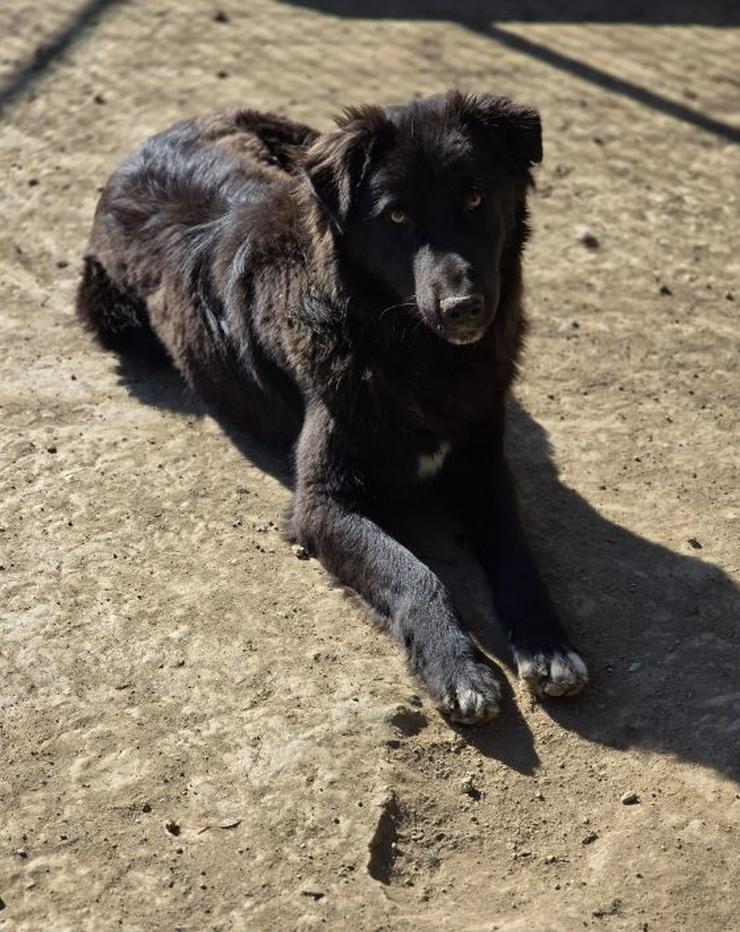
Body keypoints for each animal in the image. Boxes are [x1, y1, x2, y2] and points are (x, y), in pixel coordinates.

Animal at [78, 91, 588, 724]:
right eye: (396, 217)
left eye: (475, 198)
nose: (464, 308)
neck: (409, 348)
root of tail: (142, 148)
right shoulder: (322, 505)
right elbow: (413, 573)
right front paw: (459, 667)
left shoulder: (482, 461)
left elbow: (516, 550)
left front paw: (548, 645)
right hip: (112, 314)